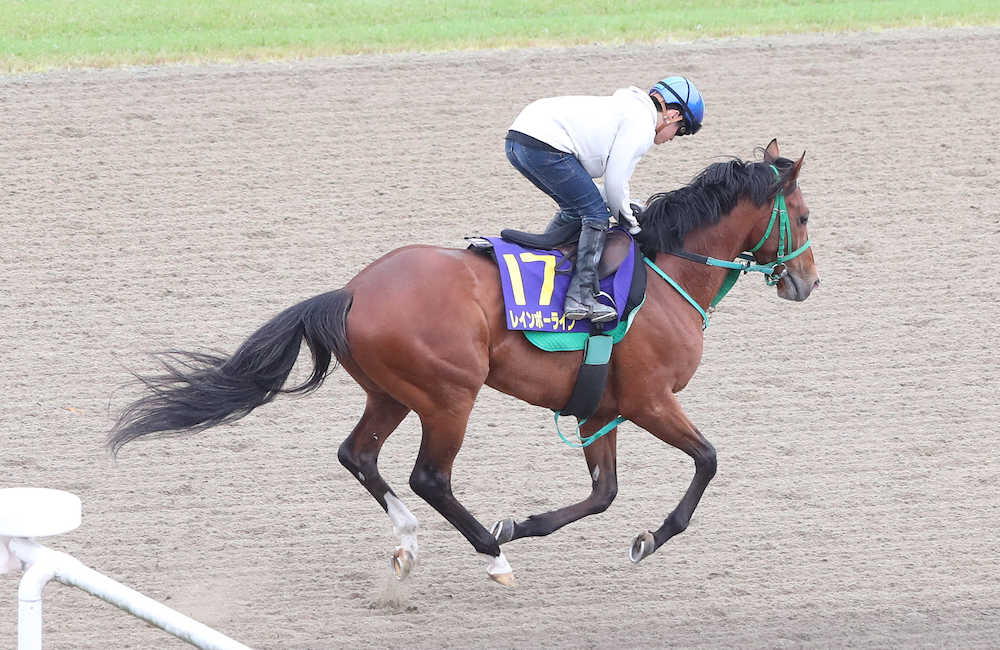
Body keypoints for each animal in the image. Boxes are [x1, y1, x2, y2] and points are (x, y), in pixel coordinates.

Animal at [108, 139, 819, 586]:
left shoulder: (602, 409)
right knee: (429, 477)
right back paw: (491, 554)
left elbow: (603, 492)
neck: (668, 271)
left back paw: (409, 540)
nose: (807, 283)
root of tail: (351, 291)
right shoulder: (649, 400)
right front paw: (649, 537)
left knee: (358, 456)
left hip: (392, 393)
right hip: (450, 395)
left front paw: (526, 522)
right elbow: (707, 460)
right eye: (806, 215)